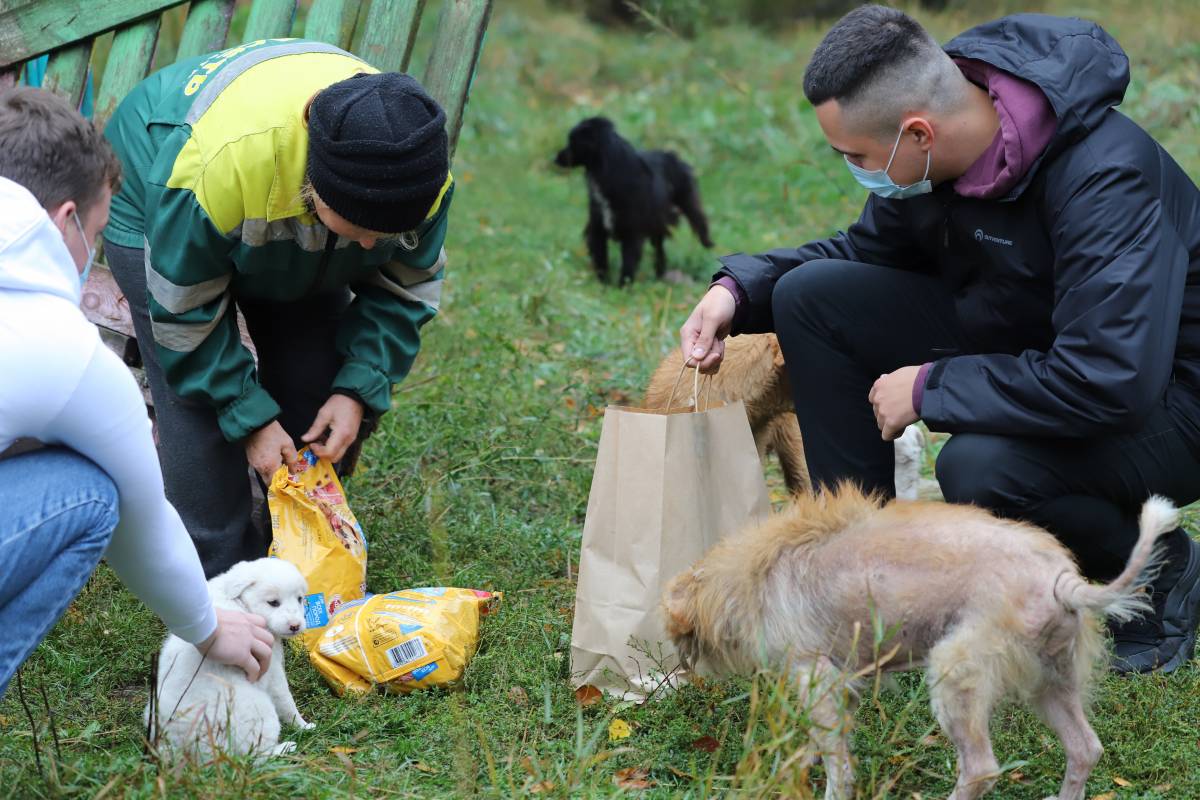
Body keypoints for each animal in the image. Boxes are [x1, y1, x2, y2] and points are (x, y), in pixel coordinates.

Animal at [147, 561, 314, 762]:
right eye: (273, 602)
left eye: (299, 599)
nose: (295, 626)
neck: (242, 603)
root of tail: (187, 748)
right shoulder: (271, 670)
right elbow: (287, 701)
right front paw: (303, 725)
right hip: (259, 709)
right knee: (255, 756)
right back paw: (285, 748)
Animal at [554, 115, 710, 284]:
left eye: (572, 142)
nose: (554, 158)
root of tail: (674, 156)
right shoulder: (598, 227)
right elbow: (601, 258)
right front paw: (604, 284)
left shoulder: (633, 232)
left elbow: (628, 263)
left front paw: (623, 286)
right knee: (660, 248)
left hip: (685, 205)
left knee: (696, 223)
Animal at [662, 484, 1176, 800]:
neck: (751, 577)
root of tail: (1063, 582)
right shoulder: (840, 687)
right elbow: (817, 746)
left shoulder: (818, 680)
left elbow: (838, 766)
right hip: (1049, 683)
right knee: (1085, 748)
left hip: (956, 672)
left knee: (981, 768)